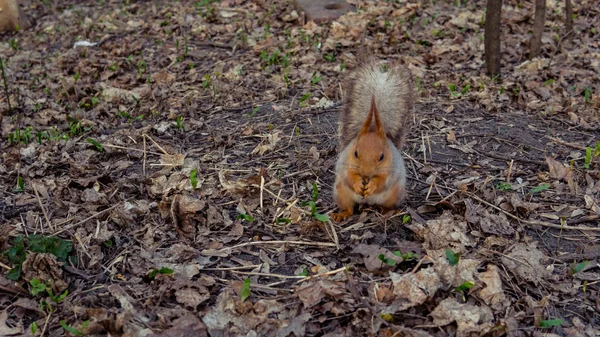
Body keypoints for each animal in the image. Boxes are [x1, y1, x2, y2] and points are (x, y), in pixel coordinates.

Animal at [330, 58, 414, 220]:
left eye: (382, 156)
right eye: (355, 153)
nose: (366, 174)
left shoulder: (391, 170)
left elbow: (382, 182)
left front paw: (372, 185)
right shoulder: (345, 163)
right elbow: (349, 177)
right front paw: (357, 183)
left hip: (394, 194)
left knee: (386, 206)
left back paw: (389, 212)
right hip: (341, 192)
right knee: (349, 208)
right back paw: (342, 214)